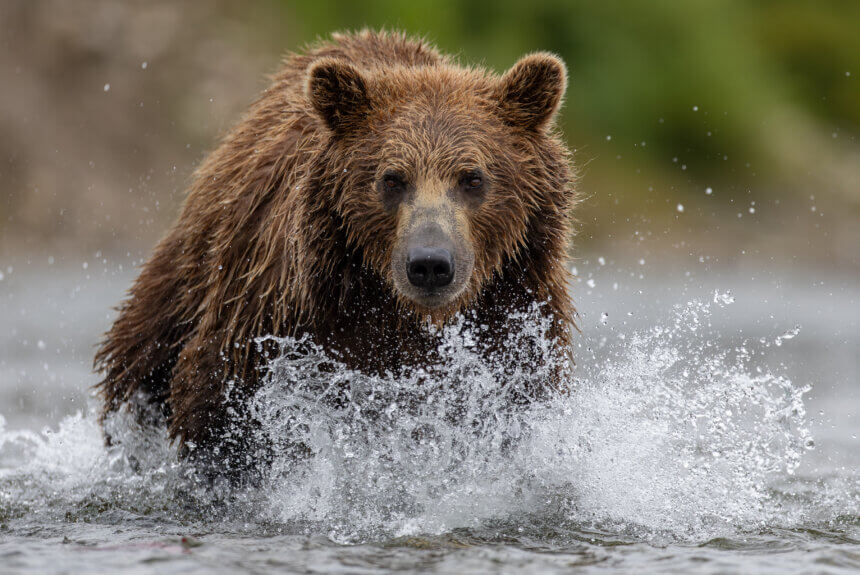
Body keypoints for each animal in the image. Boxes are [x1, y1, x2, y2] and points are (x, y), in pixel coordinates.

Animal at [95, 30, 577, 468]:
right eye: (391, 179)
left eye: (472, 178)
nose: (429, 264)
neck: (401, 314)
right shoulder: (275, 314)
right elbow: (217, 406)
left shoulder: (515, 315)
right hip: (179, 291)